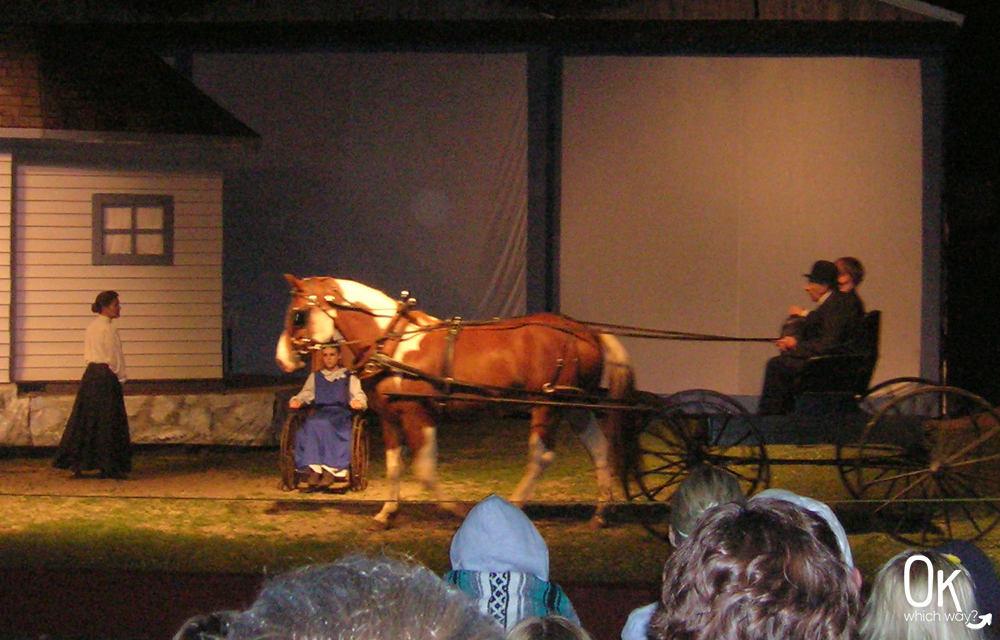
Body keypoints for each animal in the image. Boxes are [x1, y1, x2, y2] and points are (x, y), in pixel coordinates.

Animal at [274, 276, 632, 528]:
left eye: (297, 316)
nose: (282, 359)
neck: (393, 344)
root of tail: (584, 330)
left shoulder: (417, 415)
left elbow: (424, 471)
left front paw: (456, 510)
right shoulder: (390, 417)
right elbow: (393, 466)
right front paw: (387, 513)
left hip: (547, 405)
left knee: (541, 457)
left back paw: (515, 506)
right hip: (574, 406)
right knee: (600, 449)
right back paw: (601, 512)